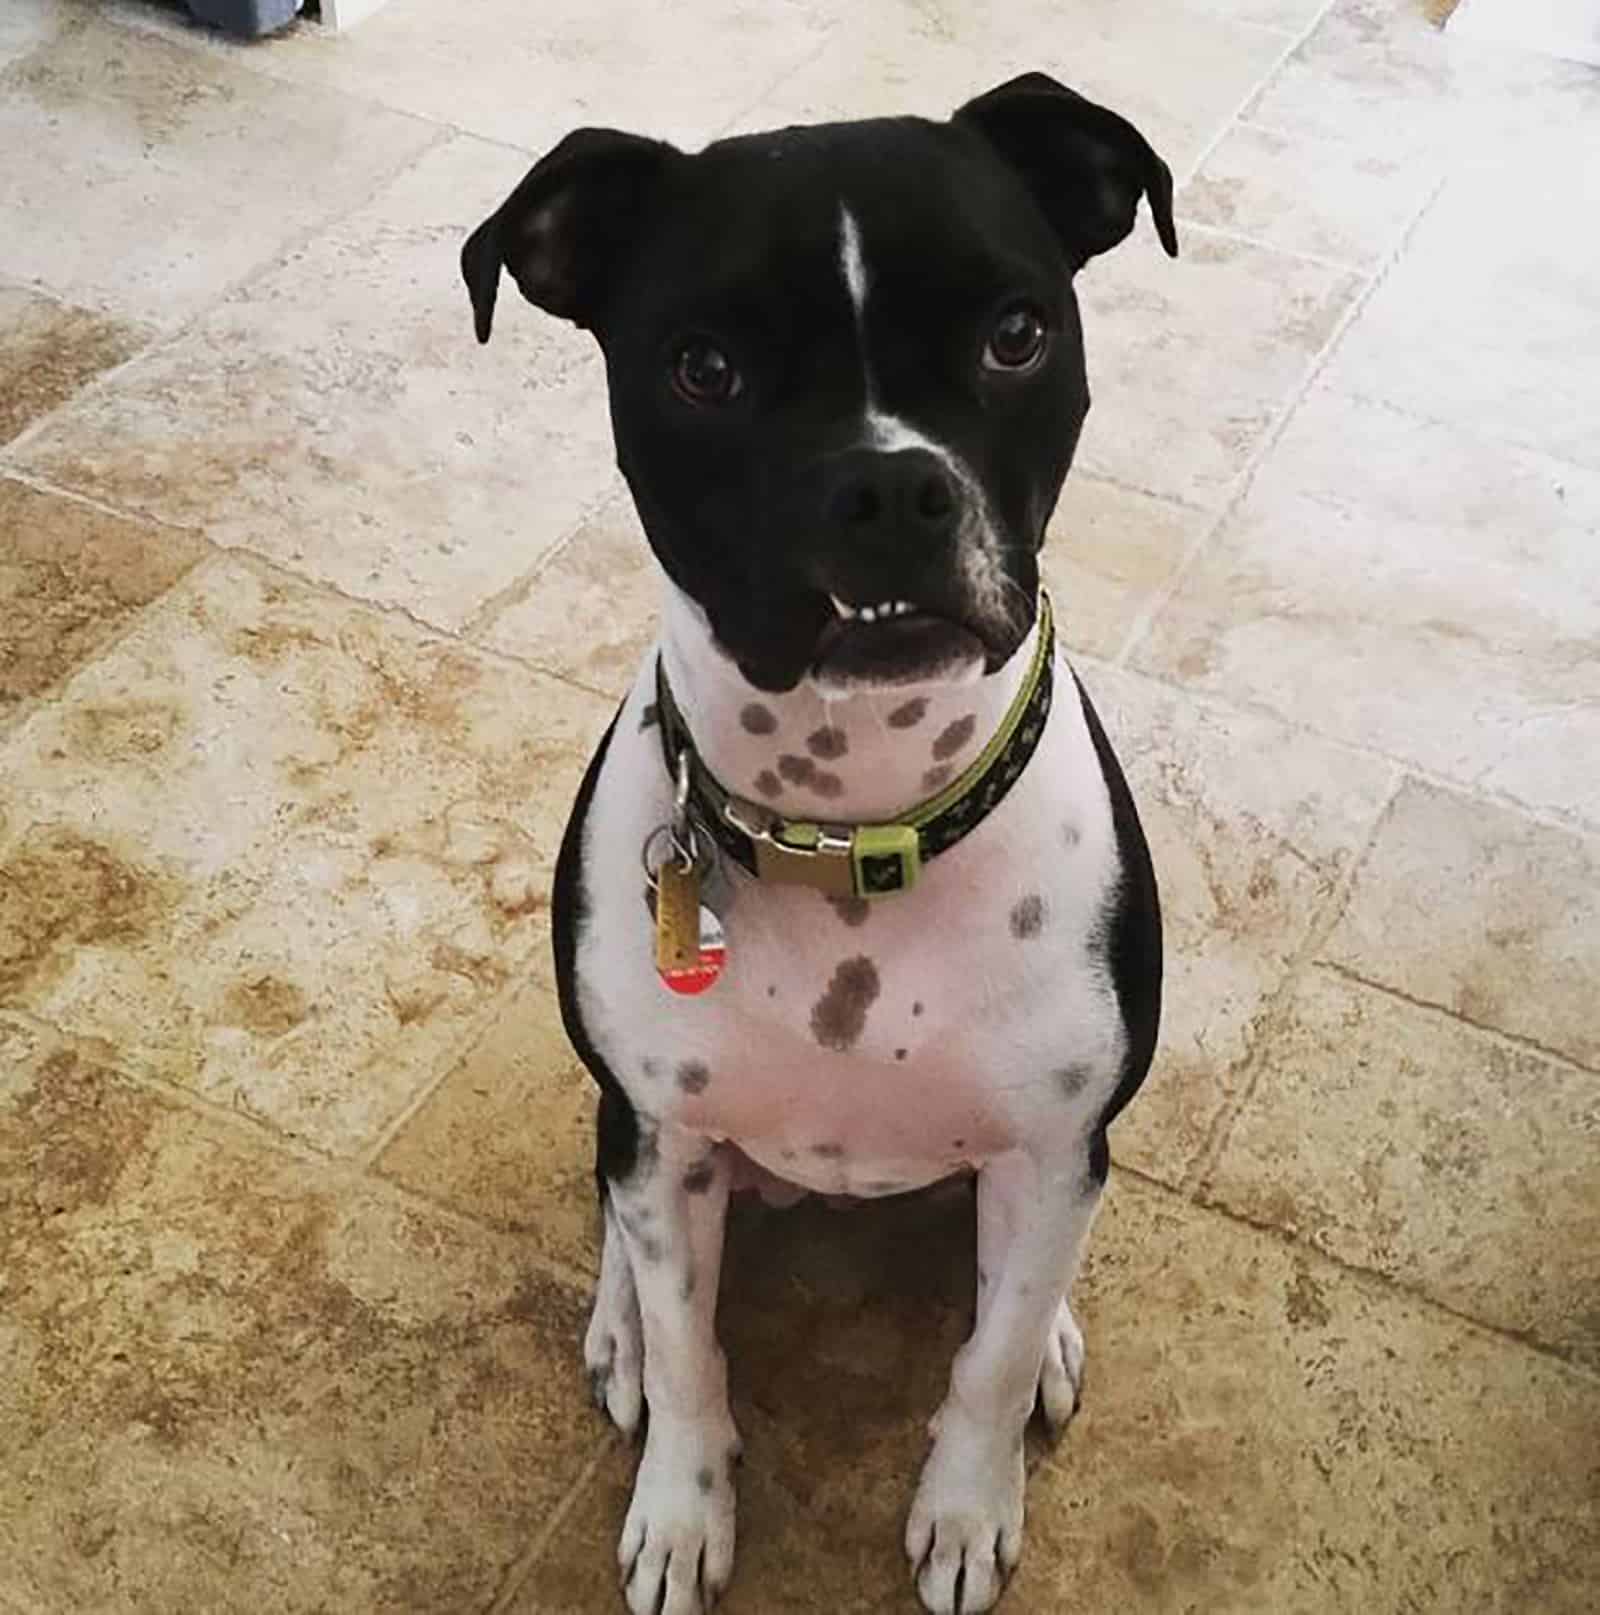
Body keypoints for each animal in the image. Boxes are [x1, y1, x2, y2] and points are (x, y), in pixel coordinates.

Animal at [455, 72, 1168, 1615]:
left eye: (1015, 334)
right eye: (702, 368)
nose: (888, 489)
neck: (855, 825)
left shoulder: (1055, 1140)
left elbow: (988, 1357)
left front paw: (966, 1508)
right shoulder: (667, 1139)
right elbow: (692, 1351)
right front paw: (680, 1510)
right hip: (636, 1122)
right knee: (618, 1214)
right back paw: (615, 1326)